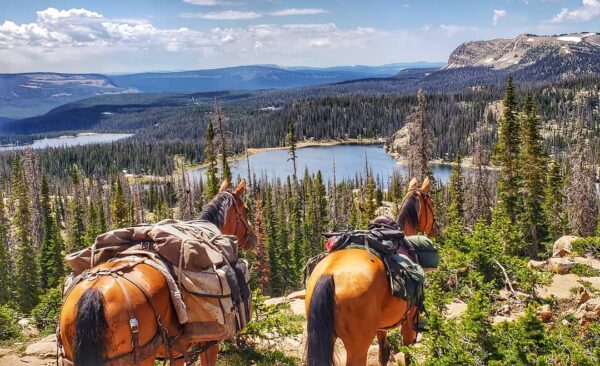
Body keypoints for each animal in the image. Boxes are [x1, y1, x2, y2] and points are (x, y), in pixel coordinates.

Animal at [59, 181, 256, 366]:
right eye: (246, 209)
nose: (253, 238)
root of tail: (94, 292)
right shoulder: (205, 345)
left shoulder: (176, 351)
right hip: (141, 357)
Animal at [308, 176, 434, 364]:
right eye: (431, 202)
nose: (434, 228)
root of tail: (328, 274)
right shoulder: (409, 322)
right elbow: (407, 355)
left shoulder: (381, 327)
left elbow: (383, 354)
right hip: (357, 347)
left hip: (325, 337)